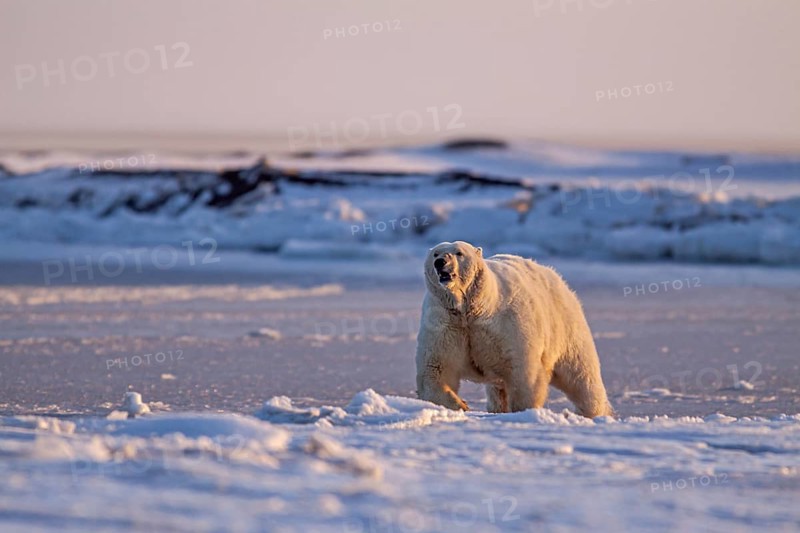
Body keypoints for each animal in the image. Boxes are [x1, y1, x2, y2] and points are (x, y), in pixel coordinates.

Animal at [415, 240, 613, 418]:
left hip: (565, 326)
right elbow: (436, 368)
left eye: (459, 253)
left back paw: (593, 411)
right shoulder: (445, 324)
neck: (472, 310)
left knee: (580, 374)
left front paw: (523, 410)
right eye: (435, 253)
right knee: (497, 388)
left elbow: (523, 370)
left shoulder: (506, 324)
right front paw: (461, 405)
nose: (440, 262)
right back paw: (497, 408)